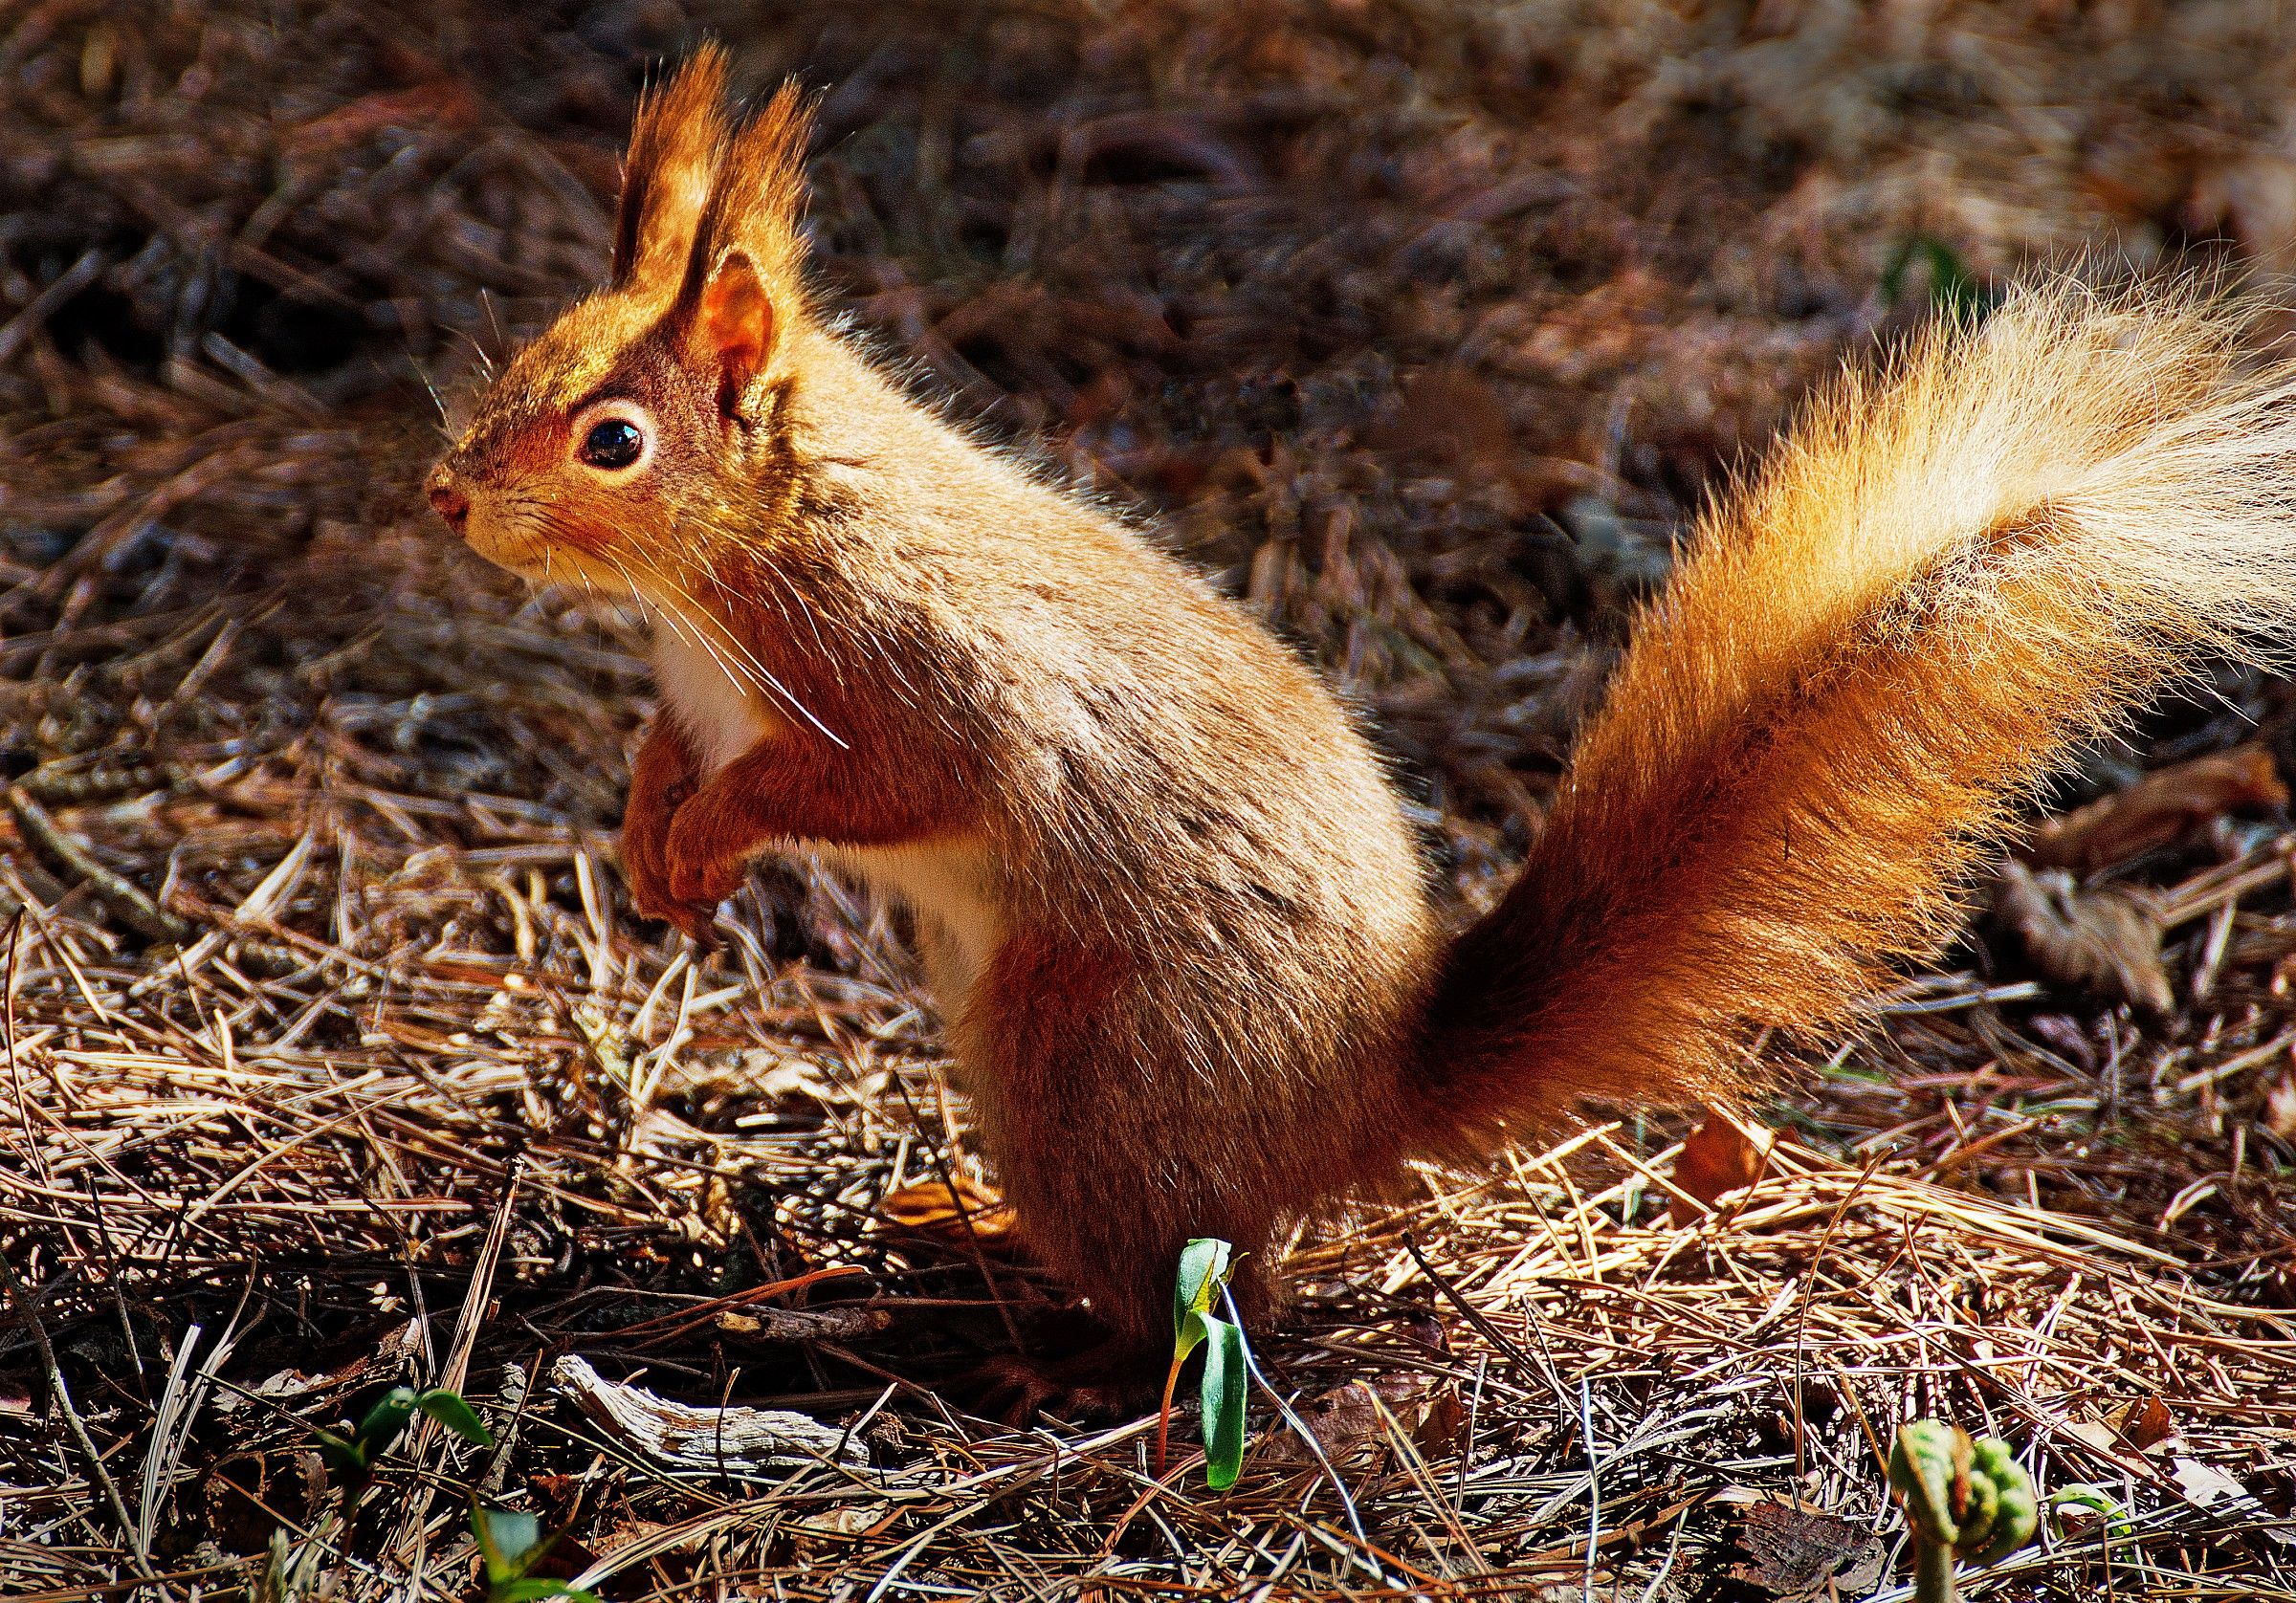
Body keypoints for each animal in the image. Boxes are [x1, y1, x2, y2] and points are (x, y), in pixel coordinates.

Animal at [427, 49, 2296, 1404]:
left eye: (610, 441)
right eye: (526, 355)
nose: (446, 501)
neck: (731, 561)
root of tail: (1358, 1089)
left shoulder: (914, 669)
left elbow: (873, 781)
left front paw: (717, 838)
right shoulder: (696, 697)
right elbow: (669, 762)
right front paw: (652, 848)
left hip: (1081, 1061)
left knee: (1214, 1292)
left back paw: (1058, 1365)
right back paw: (968, 1234)